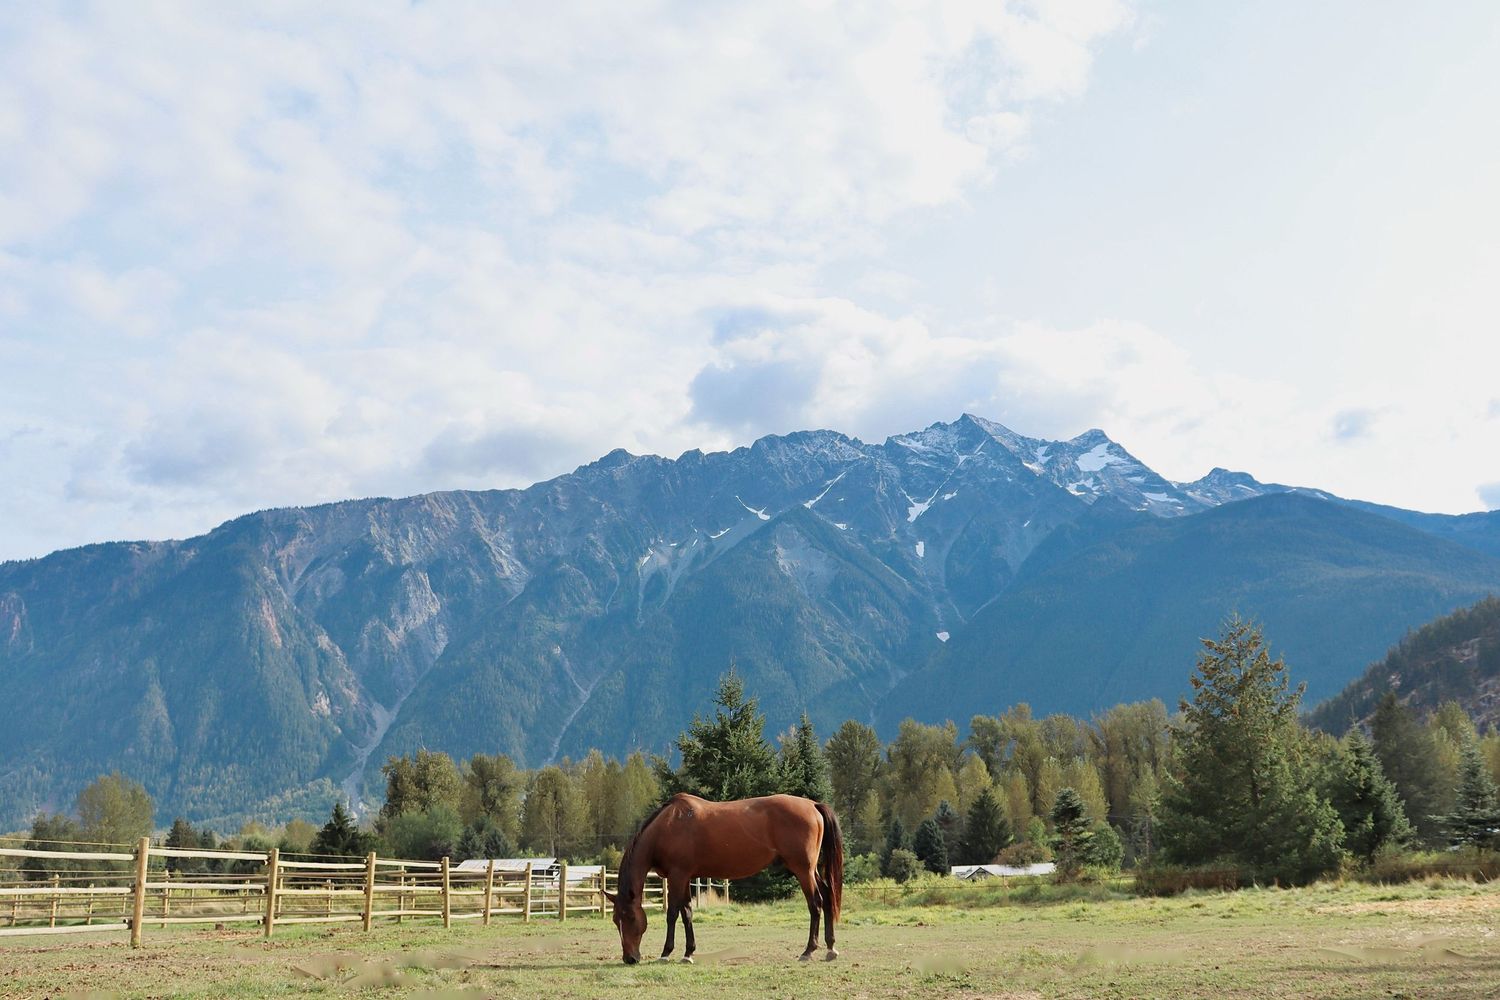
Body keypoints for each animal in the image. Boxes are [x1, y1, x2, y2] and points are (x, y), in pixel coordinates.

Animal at [605, 792, 844, 965]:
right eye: (615, 920)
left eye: (630, 918)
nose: (630, 958)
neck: (668, 826)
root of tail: (812, 805)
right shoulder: (686, 877)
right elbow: (687, 913)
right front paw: (688, 953)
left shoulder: (677, 876)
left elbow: (672, 914)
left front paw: (666, 953)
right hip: (810, 871)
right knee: (827, 897)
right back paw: (830, 947)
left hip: (803, 870)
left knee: (816, 904)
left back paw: (808, 951)